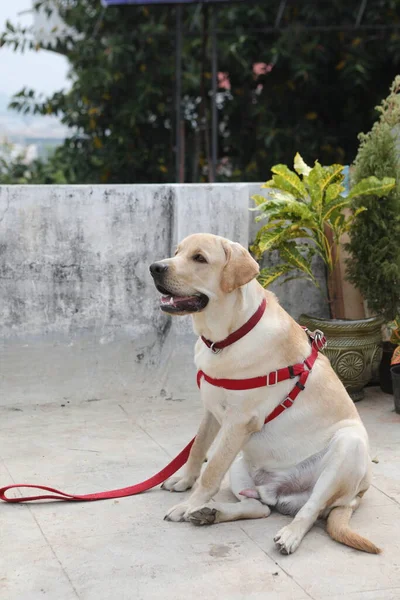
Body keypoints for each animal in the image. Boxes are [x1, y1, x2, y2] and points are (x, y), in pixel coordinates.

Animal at [148, 232, 380, 556]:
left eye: (199, 258)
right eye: (177, 251)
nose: (155, 268)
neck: (228, 337)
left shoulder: (239, 422)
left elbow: (211, 471)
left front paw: (187, 504)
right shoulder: (211, 413)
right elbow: (197, 450)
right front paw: (184, 482)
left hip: (349, 446)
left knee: (310, 508)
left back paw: (289, 535)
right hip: (241, 466)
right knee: (259, 507)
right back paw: (211, 512)